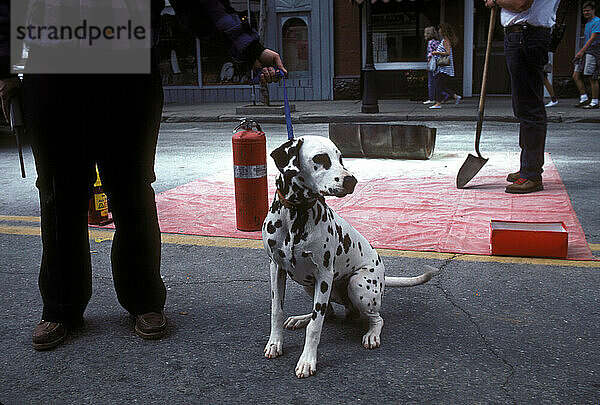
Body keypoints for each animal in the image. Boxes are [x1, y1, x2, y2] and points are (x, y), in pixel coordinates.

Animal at [260, 137, 438, 378]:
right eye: (320, 158)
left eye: (340, 157)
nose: (351, 181)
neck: (297, 214)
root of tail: (383, 276)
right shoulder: (276, 269)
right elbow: (277, 312)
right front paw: (275, 343)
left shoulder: (324, 275)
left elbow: (315, 326)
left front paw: (307, 360)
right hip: (309, 284)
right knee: (328, 312)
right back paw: (301, 319)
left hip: (358, 285)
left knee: (375, 318)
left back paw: (372, 334)